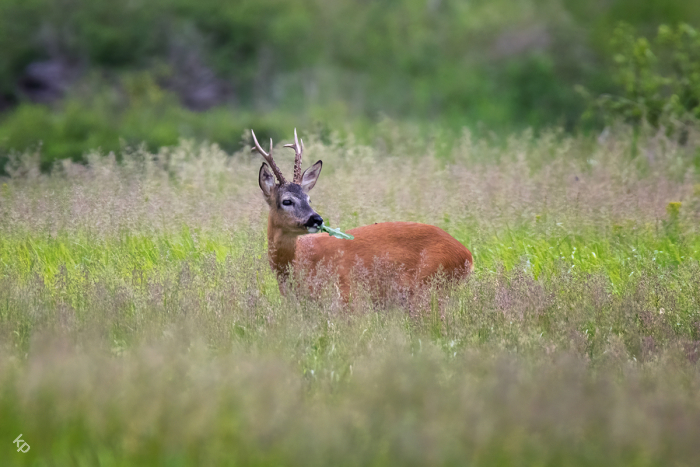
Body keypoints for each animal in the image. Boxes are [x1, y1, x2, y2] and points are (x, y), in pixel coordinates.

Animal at [253, 130, 476, 302]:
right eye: (287, 201)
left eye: (309, 198)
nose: (316, 219)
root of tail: (467, 255)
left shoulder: (348, 296)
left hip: (429, 287)